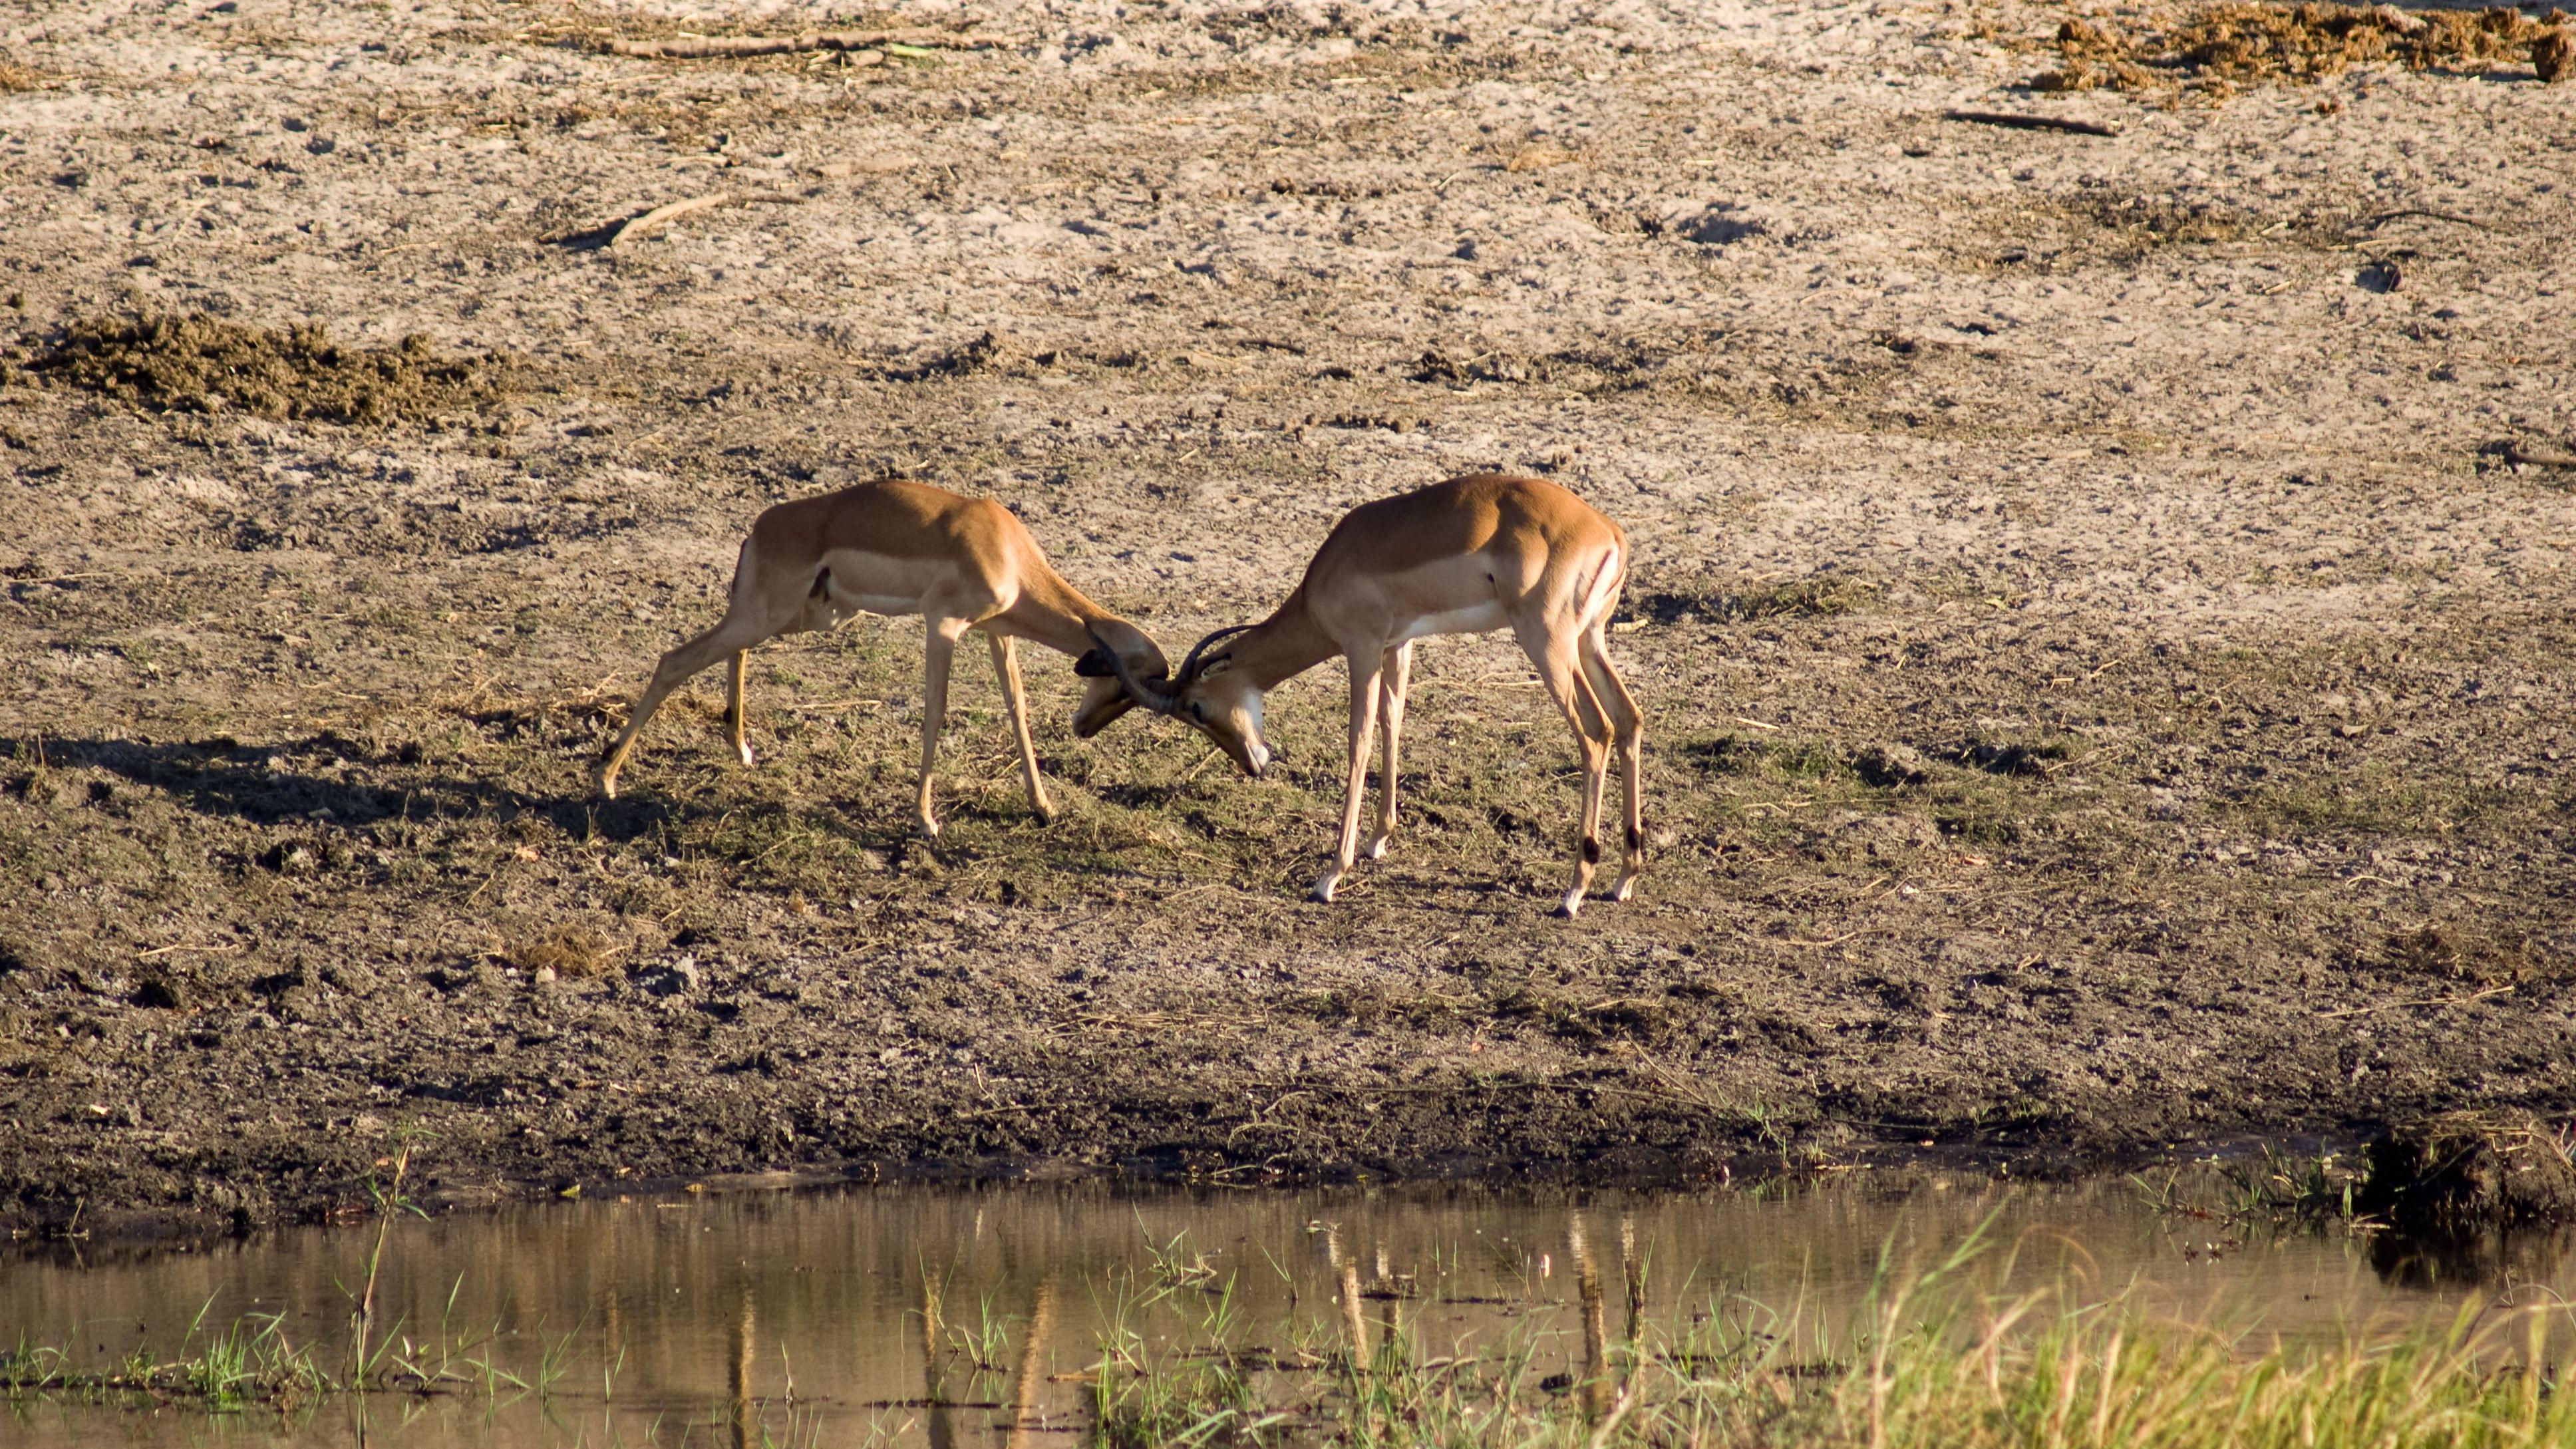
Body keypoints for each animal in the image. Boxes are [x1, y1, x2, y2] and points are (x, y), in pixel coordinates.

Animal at [592, 476, 1169, 835]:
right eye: (1128, 688)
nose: (1085, 729)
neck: (1006, 548)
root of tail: (760, 527)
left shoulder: (995, 632)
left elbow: (1017, 709)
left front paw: (1044, 807)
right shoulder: (944, 624)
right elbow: (935, 712)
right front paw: (926, 821)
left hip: (800, 615)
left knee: (732, 653)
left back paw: (741, 751)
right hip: (770, 613)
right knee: (675, 660)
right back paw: (608, 780)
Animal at [1097, 469, 1638, 907]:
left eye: (1196, 708)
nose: (1253, 765)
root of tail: (1608, 531)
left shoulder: (1361, 646)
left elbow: (1358, 741)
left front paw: (1330, 876)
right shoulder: (1398, 643)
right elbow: (1392, 720)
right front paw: (1379, 841)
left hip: (1547, 644)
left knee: (1596, 732)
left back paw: (1573, 891)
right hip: (1589, 641)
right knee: (1629, 719)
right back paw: (1623, 879)